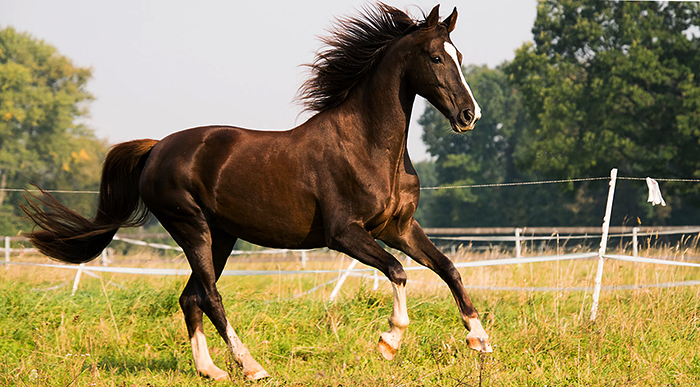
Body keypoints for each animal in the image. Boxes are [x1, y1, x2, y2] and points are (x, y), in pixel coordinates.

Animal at [21, 3, 492, 382]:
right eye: (436, 57)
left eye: (460, 56)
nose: (470, 116)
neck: (368, 147)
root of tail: (156, 148)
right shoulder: (345, 234)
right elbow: (398, 271)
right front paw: (389, 342)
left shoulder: (399, 227)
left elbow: (448, 268)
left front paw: (480, 339)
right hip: (191, 227)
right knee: (210, 296)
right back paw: (251, 367)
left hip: (221, 236)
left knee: (190, 297)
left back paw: (210, 370)